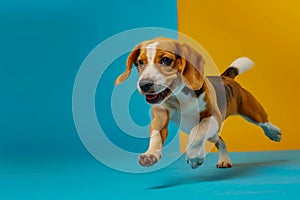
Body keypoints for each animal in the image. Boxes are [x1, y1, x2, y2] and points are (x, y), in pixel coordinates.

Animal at [115, 36, 282, 168]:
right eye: (140, 62)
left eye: (166, 60)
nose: (144, 85)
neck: (179, 97)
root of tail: (225, 77)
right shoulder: (160, 116)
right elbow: (156, 136)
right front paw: (151, 154)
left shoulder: (212, 117)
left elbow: (198, 130)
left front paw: (193, 156)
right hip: (213, 132)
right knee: (220, 141)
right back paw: (223, 159)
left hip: (250, 109)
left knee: (264, 121)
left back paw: (274, 133)